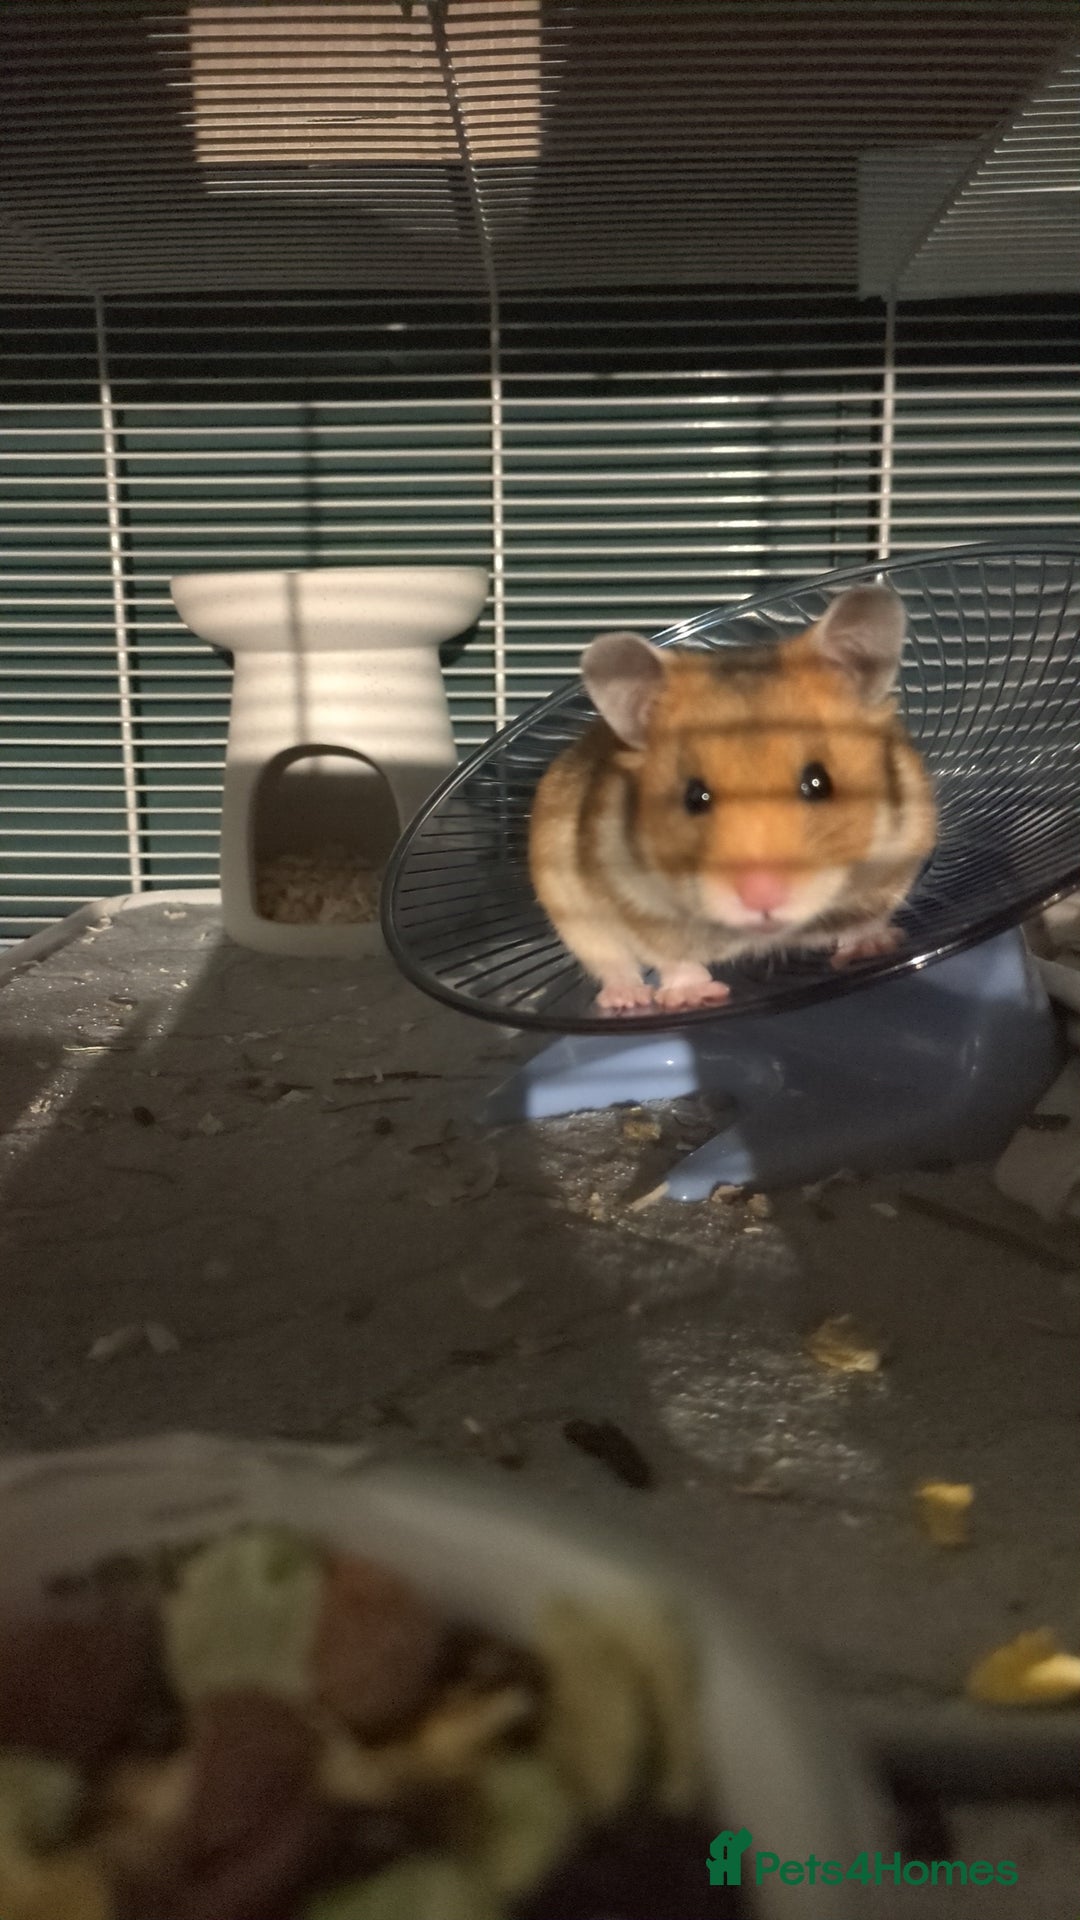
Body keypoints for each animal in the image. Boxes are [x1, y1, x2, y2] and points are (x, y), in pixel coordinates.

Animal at [528, 583, 937, 1012]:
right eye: (694, 797)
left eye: (819, 783)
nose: (761, 896)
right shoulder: (634, 899)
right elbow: (671, 957)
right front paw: (691, 997)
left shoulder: (899, 857)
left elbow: (869, 920)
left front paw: (872, 948)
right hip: (570, 911)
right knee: (612, 963)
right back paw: (628, 999)